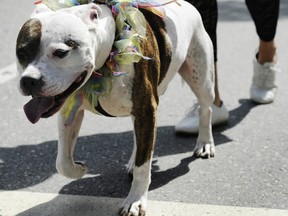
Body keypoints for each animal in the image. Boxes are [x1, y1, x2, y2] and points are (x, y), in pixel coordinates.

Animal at [15, 0, 214, 215]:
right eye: (20, 53)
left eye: (61, 53)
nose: (29, 80)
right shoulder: (70, 111)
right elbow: (62, 162)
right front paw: (79, 169)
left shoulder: (146, 109)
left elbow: (143, 167)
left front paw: (136, 201)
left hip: (200, 78)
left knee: (206, 109)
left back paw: (204, 143)